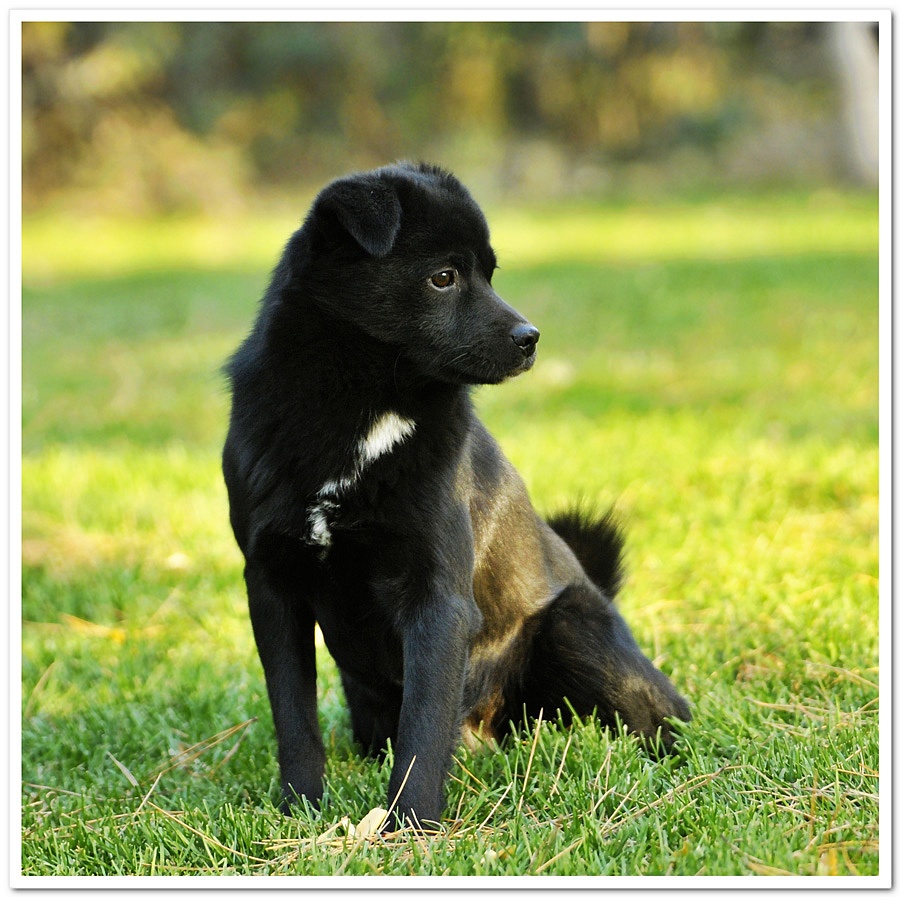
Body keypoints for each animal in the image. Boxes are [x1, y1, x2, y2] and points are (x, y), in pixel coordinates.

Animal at [223, 159, 688, 824]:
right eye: (443, 277)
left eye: (490, 272)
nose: (531, 338)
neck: (362, 410)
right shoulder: (273, 589)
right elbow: (295, 720)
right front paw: (300, 812)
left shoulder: (437, 599)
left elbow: (422, 725)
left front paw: (410, 823)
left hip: (574, 627)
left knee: (664, 721)